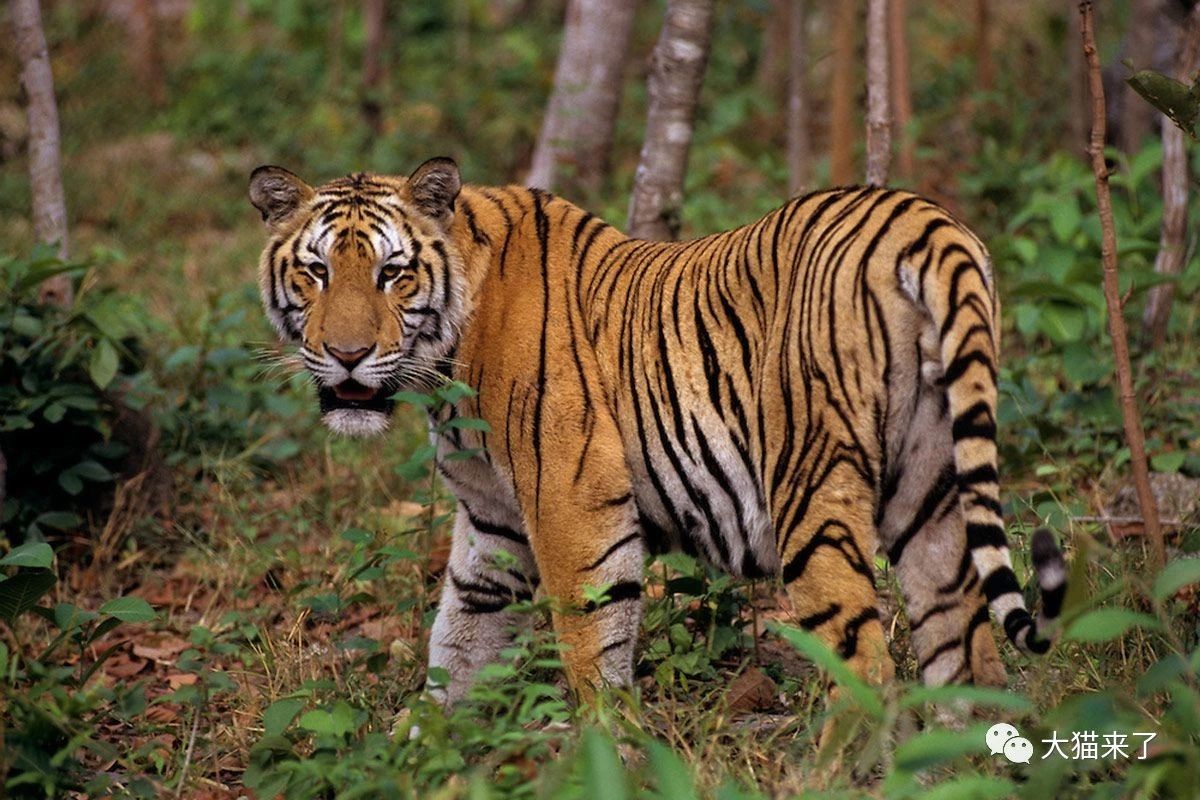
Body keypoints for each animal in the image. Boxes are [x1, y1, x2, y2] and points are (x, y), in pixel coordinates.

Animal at [250, 155, 1070, 705]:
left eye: (392, 274)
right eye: (316, 273)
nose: (347, 354)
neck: (446, 364)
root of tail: (923, 221)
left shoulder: (572, 501)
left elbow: (590, 643)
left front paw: (608, 753)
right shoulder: (492, 520)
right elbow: (460, 638)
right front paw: (425, 750)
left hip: (811, 488)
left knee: (866, 664)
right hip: (932, 490)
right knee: (966, 654)